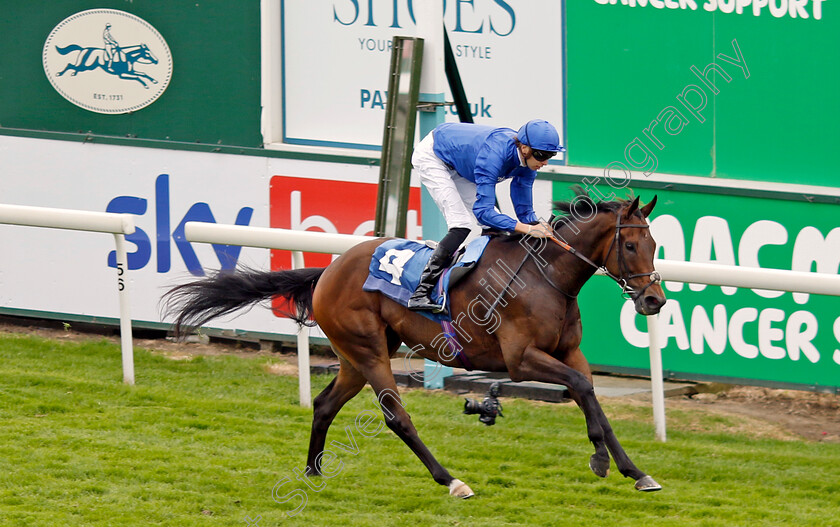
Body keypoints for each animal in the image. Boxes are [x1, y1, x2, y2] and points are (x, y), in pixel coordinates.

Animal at [164, 190, 668, 500]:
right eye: (630, 246)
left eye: (655, 244)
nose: (654, 300)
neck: (546, 278)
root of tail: (328, 270)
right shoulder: (521, 360)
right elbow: (581, 390)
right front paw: (601, 460)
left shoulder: (568, 353)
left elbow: (590, 394)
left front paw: (633, 470)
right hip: (368, 351)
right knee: (396, 417)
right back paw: (451, 480)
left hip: (355, 358)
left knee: (325, 404)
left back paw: (313, 471)